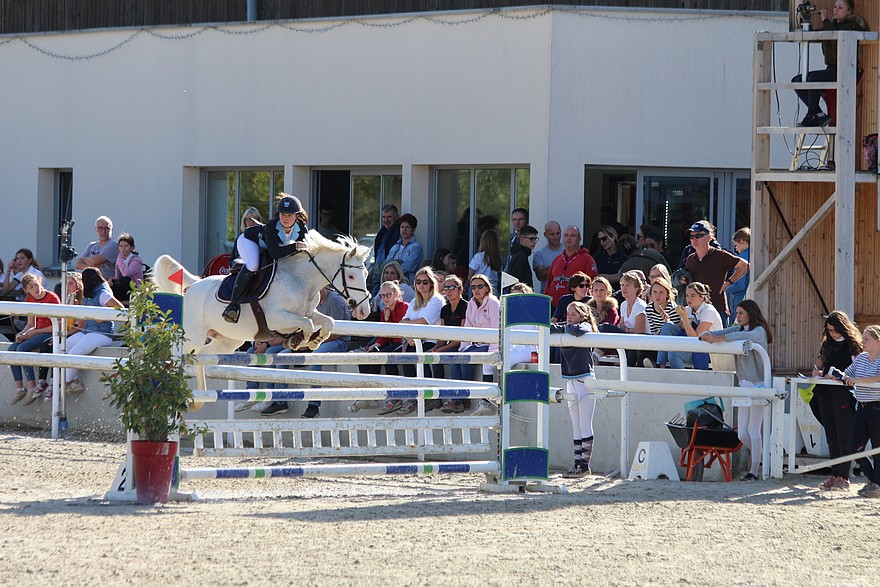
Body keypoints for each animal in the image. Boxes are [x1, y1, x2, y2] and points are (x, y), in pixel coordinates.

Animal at [152, 232, 372, 356]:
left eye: (367, 274)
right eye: (351, 276)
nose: (364, 311)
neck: (300, 279)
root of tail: (195, 284)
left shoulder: (309, 312)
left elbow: (328, 322)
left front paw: (315, 340)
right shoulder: (276, 318)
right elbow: (307, 324)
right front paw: (299, 340)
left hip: (228, 341)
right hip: (194, 336)